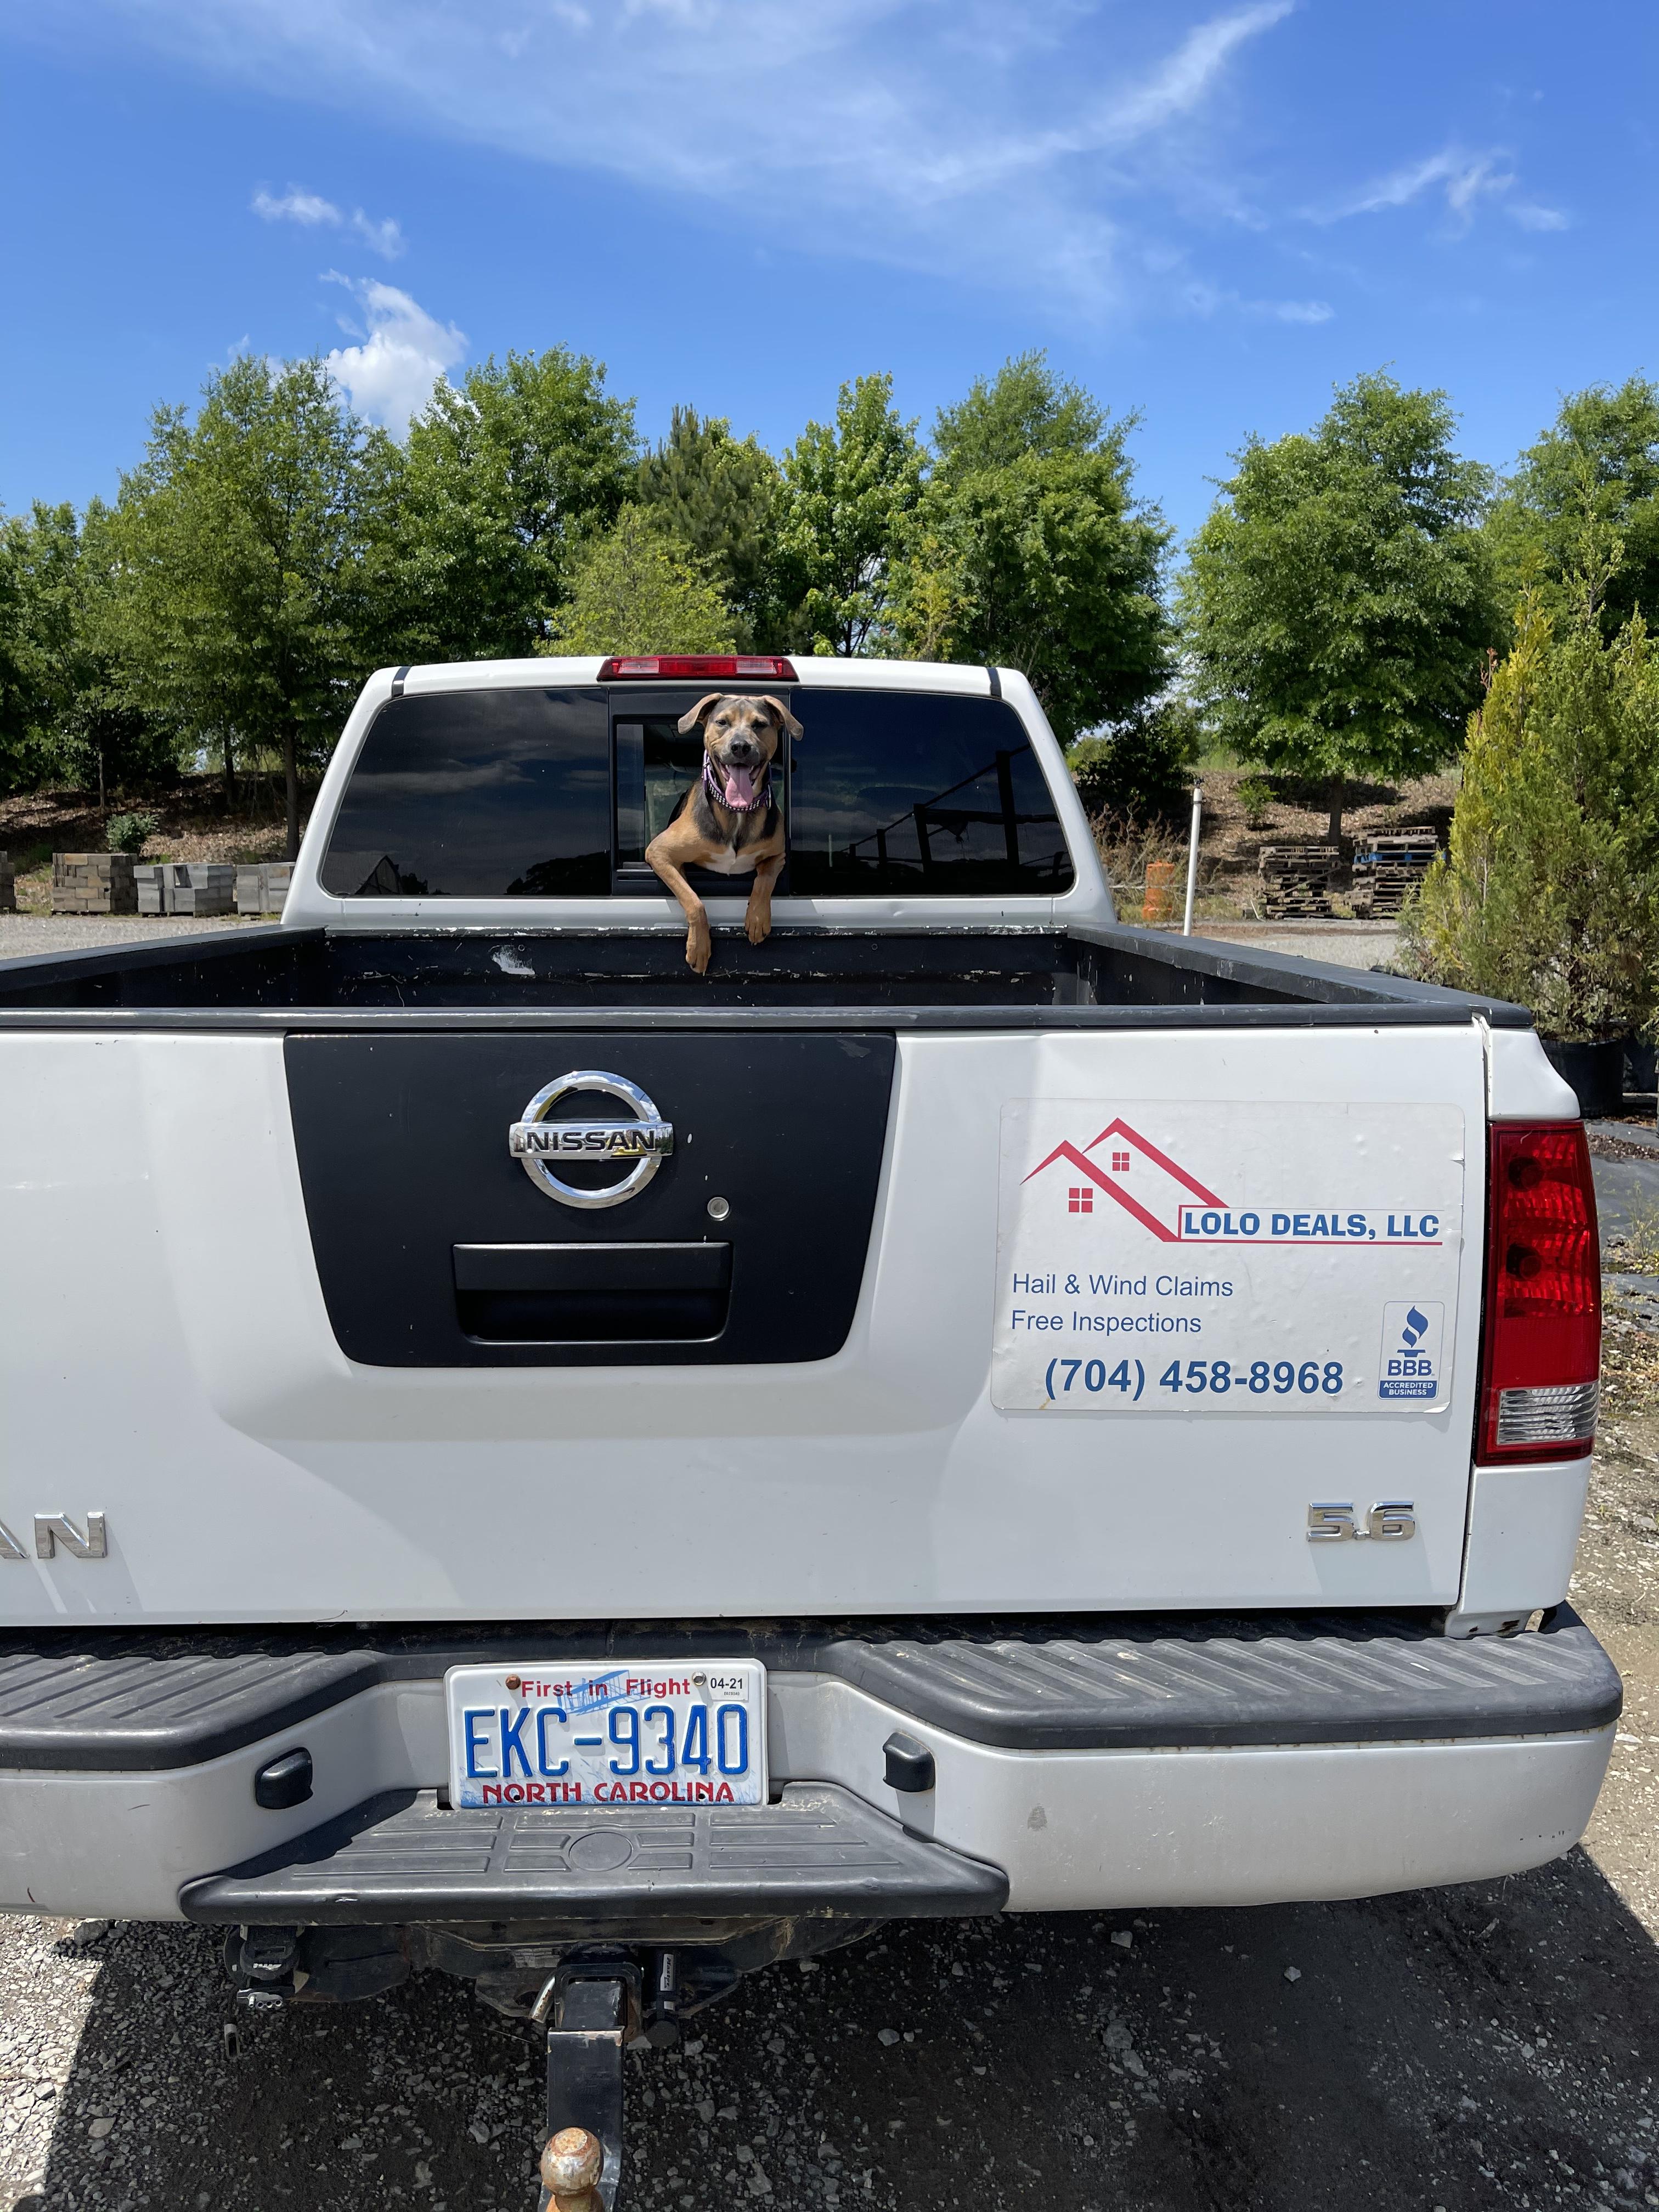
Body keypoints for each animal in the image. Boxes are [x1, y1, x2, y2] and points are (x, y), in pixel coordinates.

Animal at [646, 685, 800, 973]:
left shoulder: (778, 855)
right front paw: (699, 947)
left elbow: (764, 879)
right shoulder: (659, 853)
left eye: (759, 725)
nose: (740, 747)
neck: (737, 811)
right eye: (722, 723)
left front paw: (757, 919)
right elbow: (693, 900)